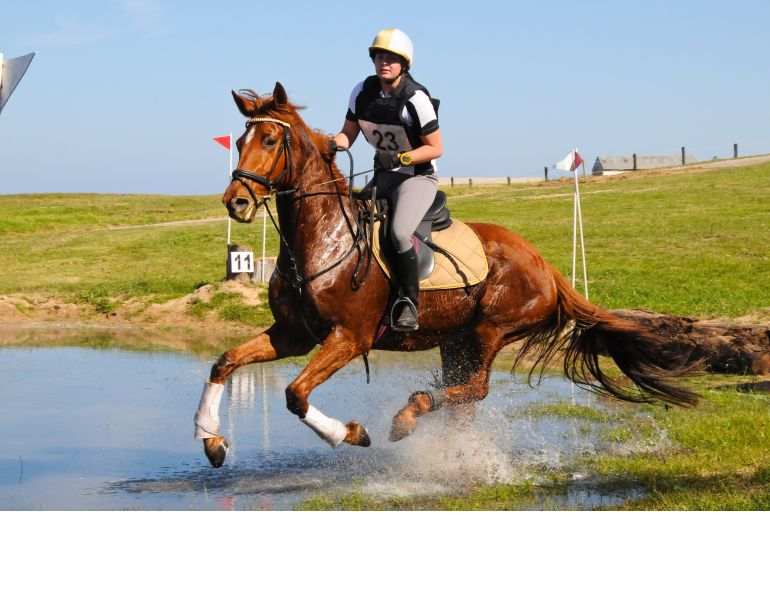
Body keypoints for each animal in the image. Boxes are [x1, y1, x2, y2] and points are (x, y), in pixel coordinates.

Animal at [193, 82, 698, 468]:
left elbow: (296, 394)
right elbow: (225, 362)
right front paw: (212, 440)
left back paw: (410, 415)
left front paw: (350, 433)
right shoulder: (294, 334)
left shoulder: (348, 337)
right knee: (465, 399)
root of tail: (545, 265)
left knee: (475, 390)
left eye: (270, 142)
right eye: (239, 143)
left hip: (491, 329)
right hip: (456, 339)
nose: (236, 202)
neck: (322, 240)